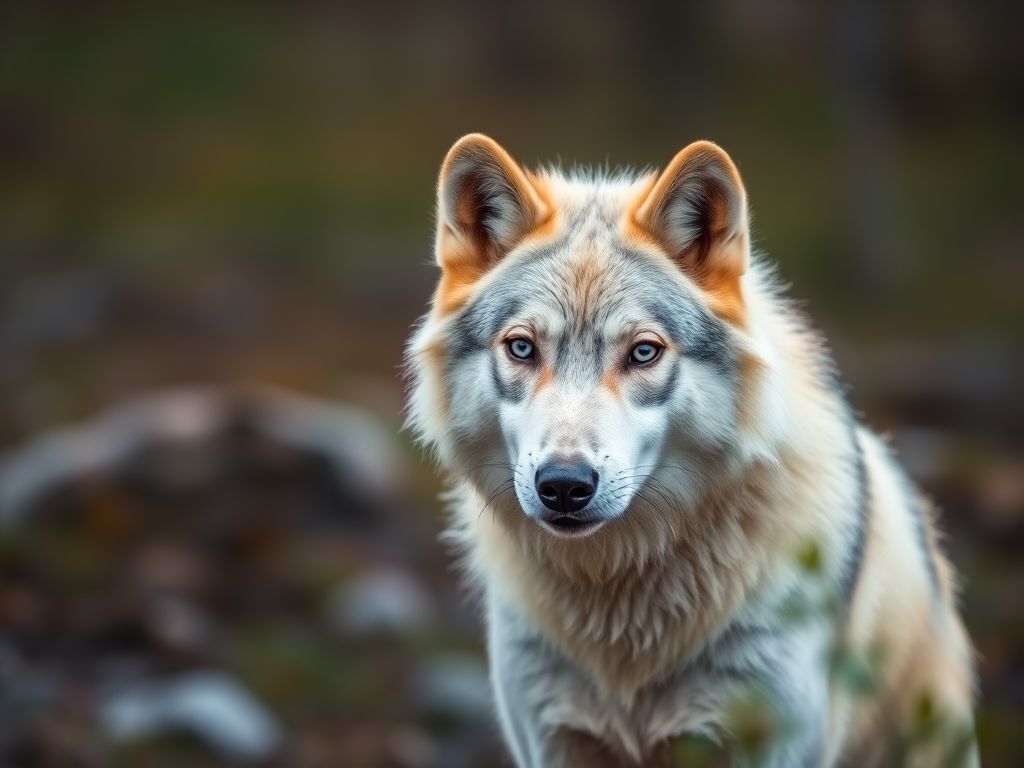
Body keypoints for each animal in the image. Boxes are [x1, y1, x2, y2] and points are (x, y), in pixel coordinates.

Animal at [405, 134, 978, 767]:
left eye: (644, 352)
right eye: (522, 348)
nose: (563, 485)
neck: (619, 596)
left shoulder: (766, 742)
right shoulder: (550, 740)